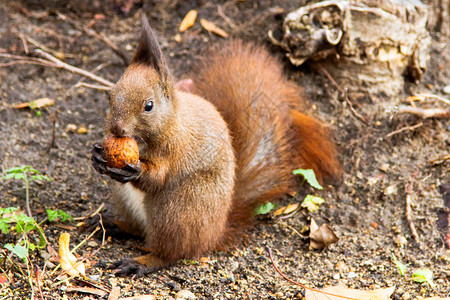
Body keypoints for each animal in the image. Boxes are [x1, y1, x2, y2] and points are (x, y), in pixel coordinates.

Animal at [90, 14, 338, 276]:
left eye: (149, 106)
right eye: (110, 96)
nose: (117, 129)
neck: (170, 122)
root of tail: (215, 232)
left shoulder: (175, 147)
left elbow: (158, 177)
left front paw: (135, 170)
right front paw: (97, 155)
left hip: (177, 208)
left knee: (170, 253)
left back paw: (141, 262)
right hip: (127, 198)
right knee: (139, 230)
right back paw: (113, 224)